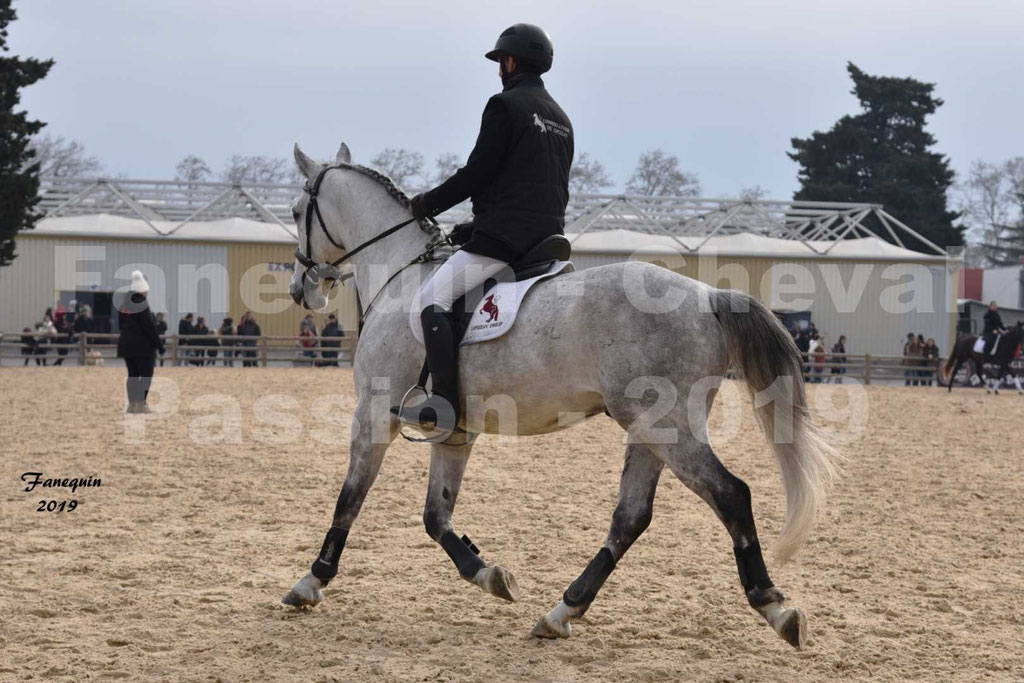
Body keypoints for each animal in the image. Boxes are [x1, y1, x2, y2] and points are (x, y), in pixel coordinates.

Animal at [282, 141, 839, 651]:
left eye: (295, 211)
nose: (302, 291)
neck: (400, 273)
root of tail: (709, 296)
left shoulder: (373, 415)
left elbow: (349, 499)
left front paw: (311, 582)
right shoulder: (456, 433)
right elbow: (436, 518)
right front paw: (489, 575)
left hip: (670, 428)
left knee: (730, 495)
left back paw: (775, 607)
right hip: (649, 430)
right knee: (631, 517)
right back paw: (562, 611)